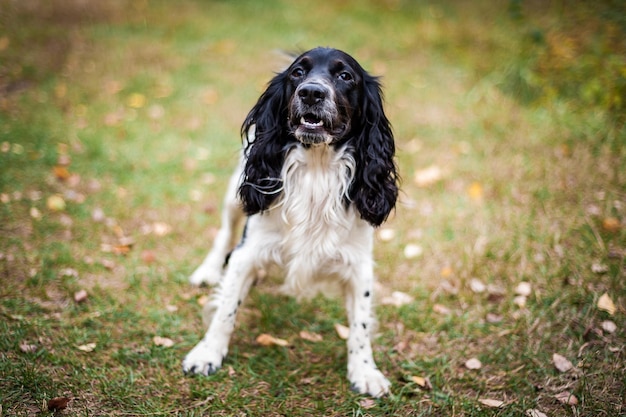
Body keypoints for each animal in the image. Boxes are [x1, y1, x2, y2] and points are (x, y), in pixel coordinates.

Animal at [180, 47, 398, 394]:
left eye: (345, 76)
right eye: (298, 73)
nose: (311, 92)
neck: (317, 171)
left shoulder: (359, 264)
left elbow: (360, 325)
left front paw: (365, 371)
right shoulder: (247, 252)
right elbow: (226, 309)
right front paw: (207, 353)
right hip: (235, 196)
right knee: (225, 233)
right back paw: (208, 271)